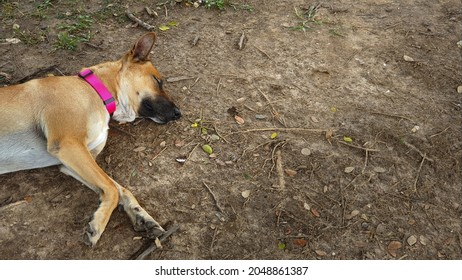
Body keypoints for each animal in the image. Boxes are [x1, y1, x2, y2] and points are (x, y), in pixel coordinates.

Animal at [0, 32, 180, 246]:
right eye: (158, 81)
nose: (179, 113)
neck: (95, 90)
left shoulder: (70, 162)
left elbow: (120, 189)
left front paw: (141, 216)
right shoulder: (68, 145)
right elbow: (111, 189)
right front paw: (98, 224)